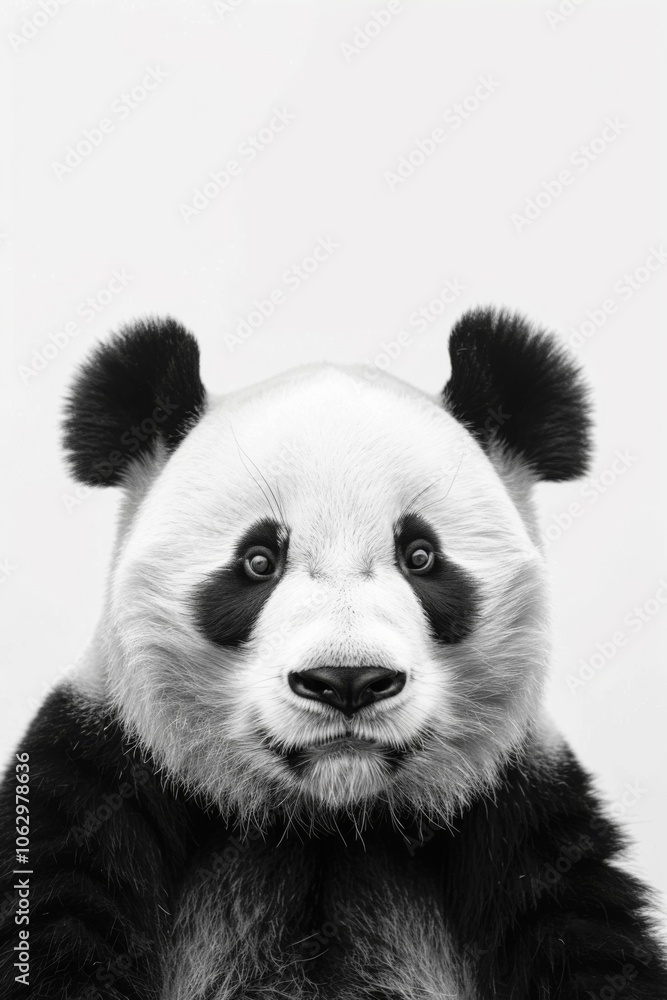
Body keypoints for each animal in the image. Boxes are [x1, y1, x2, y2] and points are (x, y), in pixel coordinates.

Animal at [1, 307, 666, 999]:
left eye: (421, 556)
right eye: (258, 561)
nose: (348, 680)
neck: (329, 823)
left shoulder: (523, 820)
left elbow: (585, 942)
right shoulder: (98, 783)